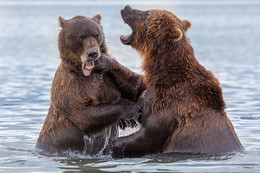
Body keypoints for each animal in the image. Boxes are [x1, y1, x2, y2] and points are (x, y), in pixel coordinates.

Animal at [35, 13, 145, 155]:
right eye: (81, 36)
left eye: (96, 34)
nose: (93, 53)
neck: (87, 73)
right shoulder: (69, 86)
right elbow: (84, 113)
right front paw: (136, 104)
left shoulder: (106, 81)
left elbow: (135, 86)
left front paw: (104, 61)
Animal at [110, 5, 244, 157]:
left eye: (147, 14)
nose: (127, 7)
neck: (163, 71)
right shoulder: (153, 92)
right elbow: (136, 102)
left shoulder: (170, 105)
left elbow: (148, 135)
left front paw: (112, 144)